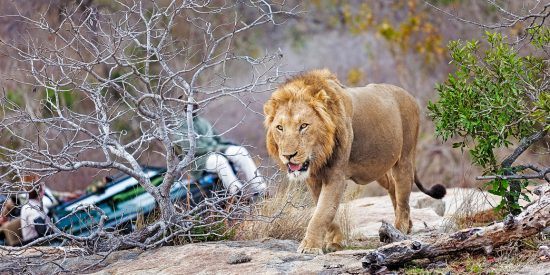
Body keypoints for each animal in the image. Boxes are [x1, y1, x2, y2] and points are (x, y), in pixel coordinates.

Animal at [264, 70, 448, 256]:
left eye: (303, 126)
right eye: (279, 127)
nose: (288, 155)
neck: (319, 155)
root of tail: (410, 96)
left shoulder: (336, 175)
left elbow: (323, 212)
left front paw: (310, 246)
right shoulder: (313, 178)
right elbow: (324, 209)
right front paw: (336, 242)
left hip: (404, 158)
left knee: (403, 196)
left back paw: (399, 230)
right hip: (379, 168)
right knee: (393, 188)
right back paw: (406, 225)